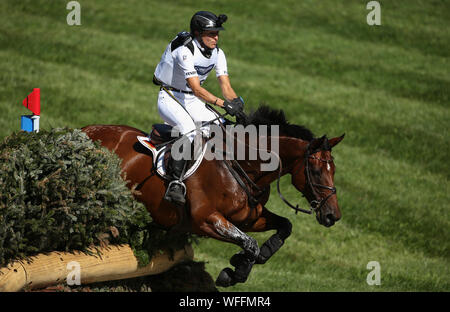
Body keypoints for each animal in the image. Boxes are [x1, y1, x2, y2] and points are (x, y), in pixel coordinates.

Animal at [81, 106, 342, 286]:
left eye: (334, 170)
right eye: (316, 171)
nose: (333, 216)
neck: (243, 165)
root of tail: (85, 130)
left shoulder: (249, 219)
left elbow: (284, 227)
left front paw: (252, 258)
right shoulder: (207, 220)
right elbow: (250, 243)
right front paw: (234, 272)